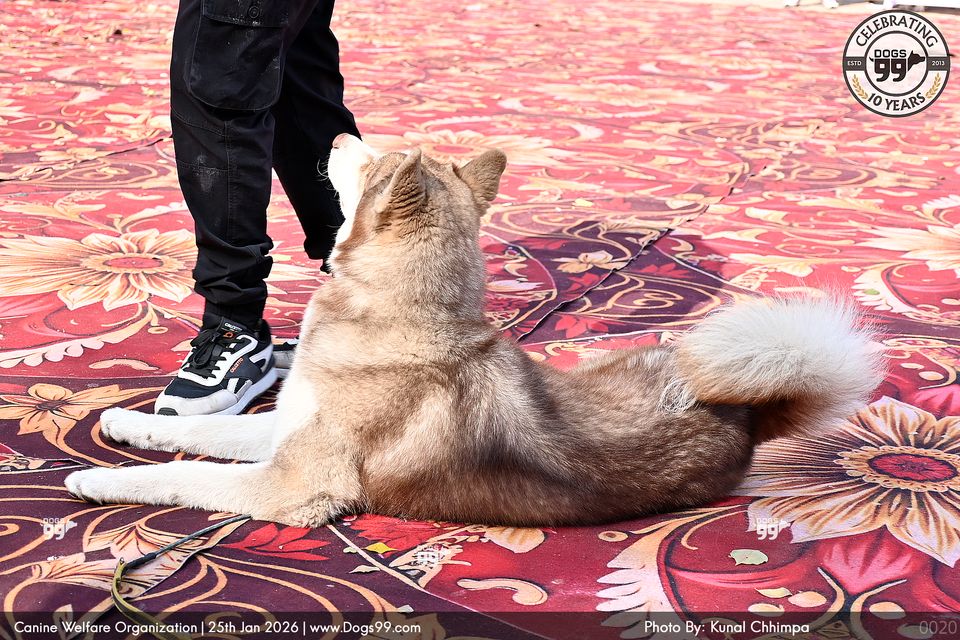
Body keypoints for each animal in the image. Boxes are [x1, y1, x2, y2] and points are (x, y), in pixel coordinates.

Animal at [65, 135, 883, 527]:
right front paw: (125, 422)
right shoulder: (283, 429)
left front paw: (96, 478)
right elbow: (197, 435)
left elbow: (182, 475)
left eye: (374, 158)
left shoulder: (293, 484)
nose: (338, 131)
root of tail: (742, 415)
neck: (398, 317)